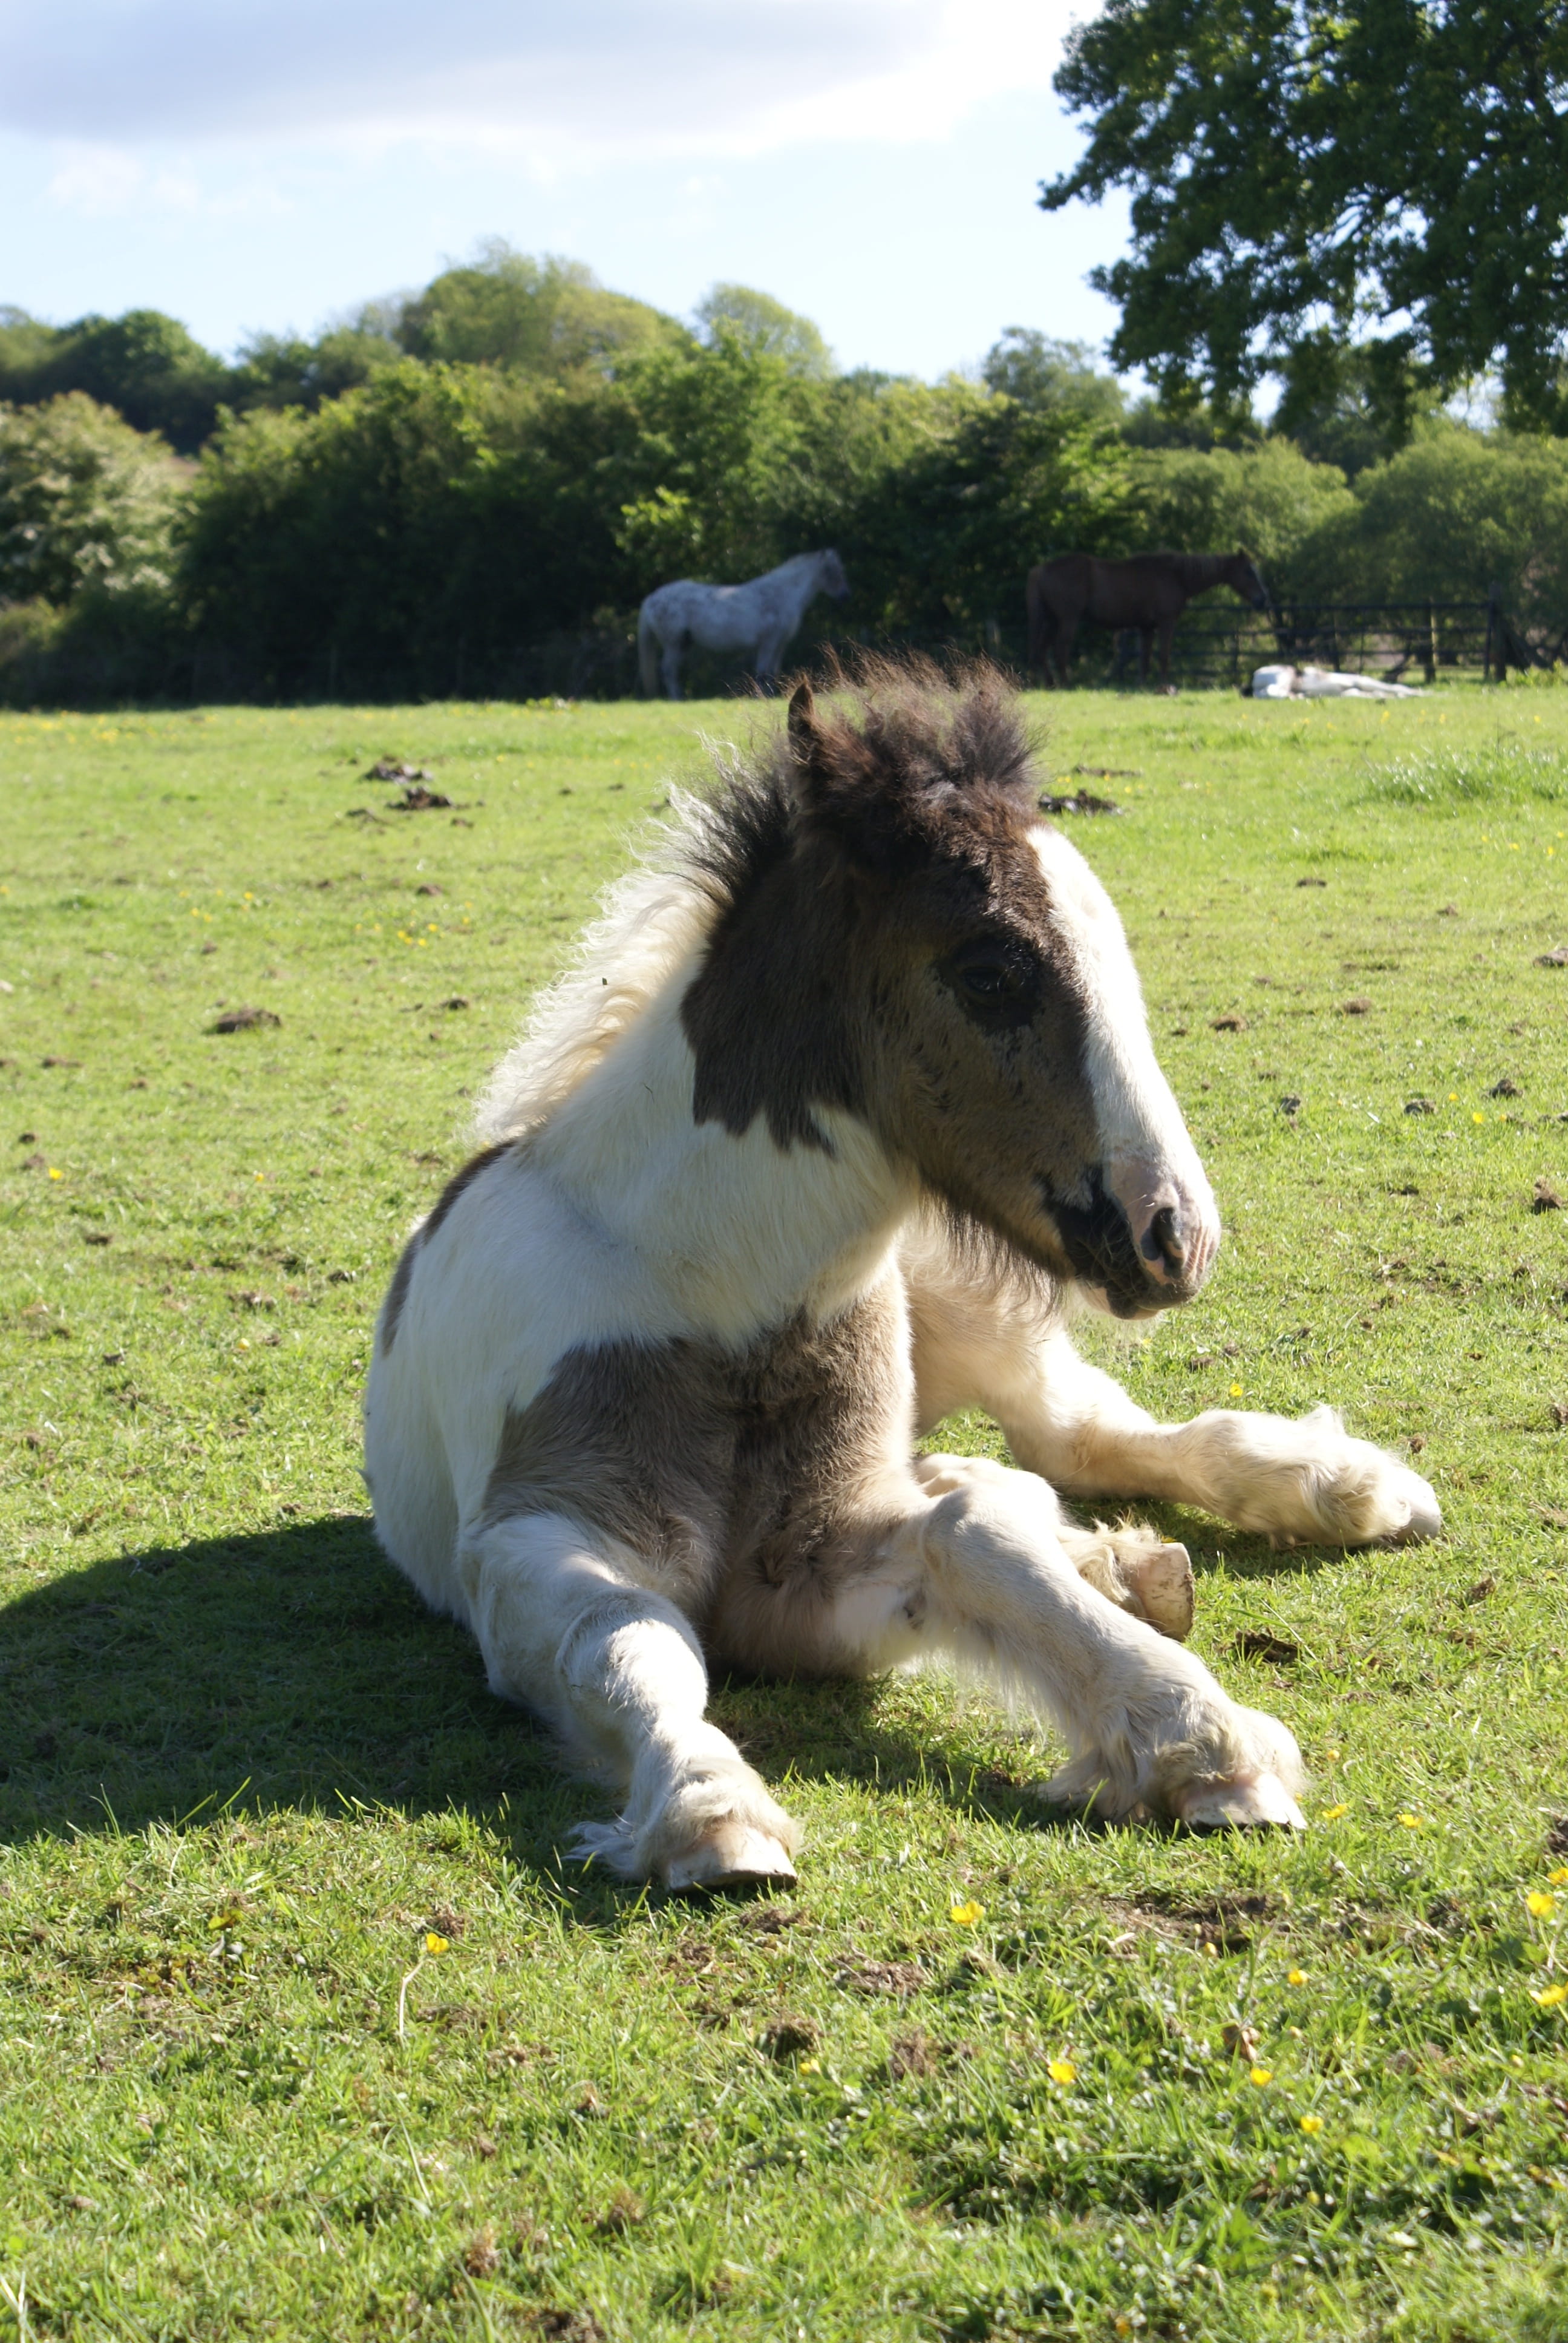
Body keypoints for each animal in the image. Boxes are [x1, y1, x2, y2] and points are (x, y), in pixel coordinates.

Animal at [365, 659, 1439, 1893]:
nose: (1175, 1234)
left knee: (1073, 1437)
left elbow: (972, 1539)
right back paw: (1122, 1558)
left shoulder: (809, 1573)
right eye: (991, 973)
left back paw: (1339, 1487)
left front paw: (1201, 1735)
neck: (713, 1290)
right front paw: (709, 1809)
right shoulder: (540, 1537)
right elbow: (630, 1643)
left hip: (966, 1307)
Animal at [638, 548, 849, 700]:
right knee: (668, 670)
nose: (844, 596)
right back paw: (677, 698)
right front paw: (760, 697)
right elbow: (763, 672)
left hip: (683, 644)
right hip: (673, 643)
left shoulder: (780, 644)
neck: (781, 594)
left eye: (840, 570)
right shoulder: (769, 642)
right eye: (831, 570)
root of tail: (651, 599)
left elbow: (773, 672)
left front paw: (771, 696)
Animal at [1027, 550, 1270, 689]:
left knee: (1041, 651)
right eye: (1248, 572)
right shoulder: (1166, 623)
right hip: (1067, 620)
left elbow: (1145, 658)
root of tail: (1041, 570)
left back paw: (1049, 683)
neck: (1176, 575)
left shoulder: (1146, 628)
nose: (1262, 600)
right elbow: (1163, 655)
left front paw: (1142, 686)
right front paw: (1164, 686)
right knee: (1060, 650)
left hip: (1052, 621)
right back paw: (1065, 684)